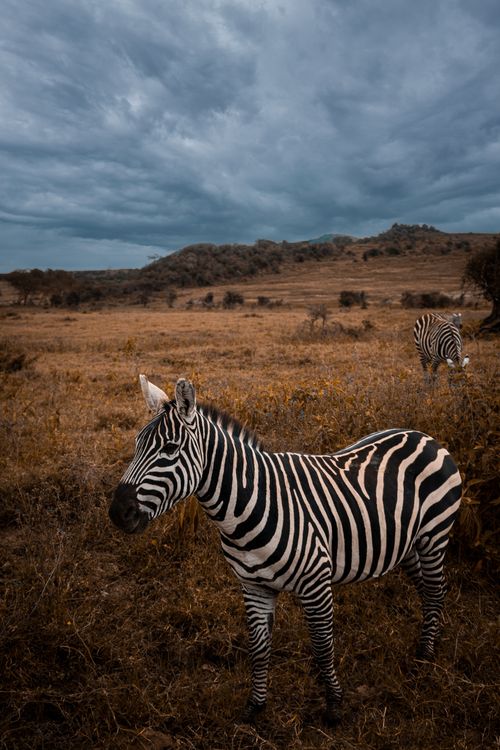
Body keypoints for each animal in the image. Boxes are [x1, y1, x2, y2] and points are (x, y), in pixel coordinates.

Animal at [109, 375, 462, 725]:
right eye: (136, 444)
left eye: (170, 448)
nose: (118, 513)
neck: (247, 505)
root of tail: (423, 436)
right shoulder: (253, 586)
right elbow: (258, 648)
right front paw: (255, 707)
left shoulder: (316, 581)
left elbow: (322, 645)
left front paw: (334, 705)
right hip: (407, 544)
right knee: (428, 589)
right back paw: (429, 641)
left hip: (433, 534)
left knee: (435, 589)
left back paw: (425, 655)